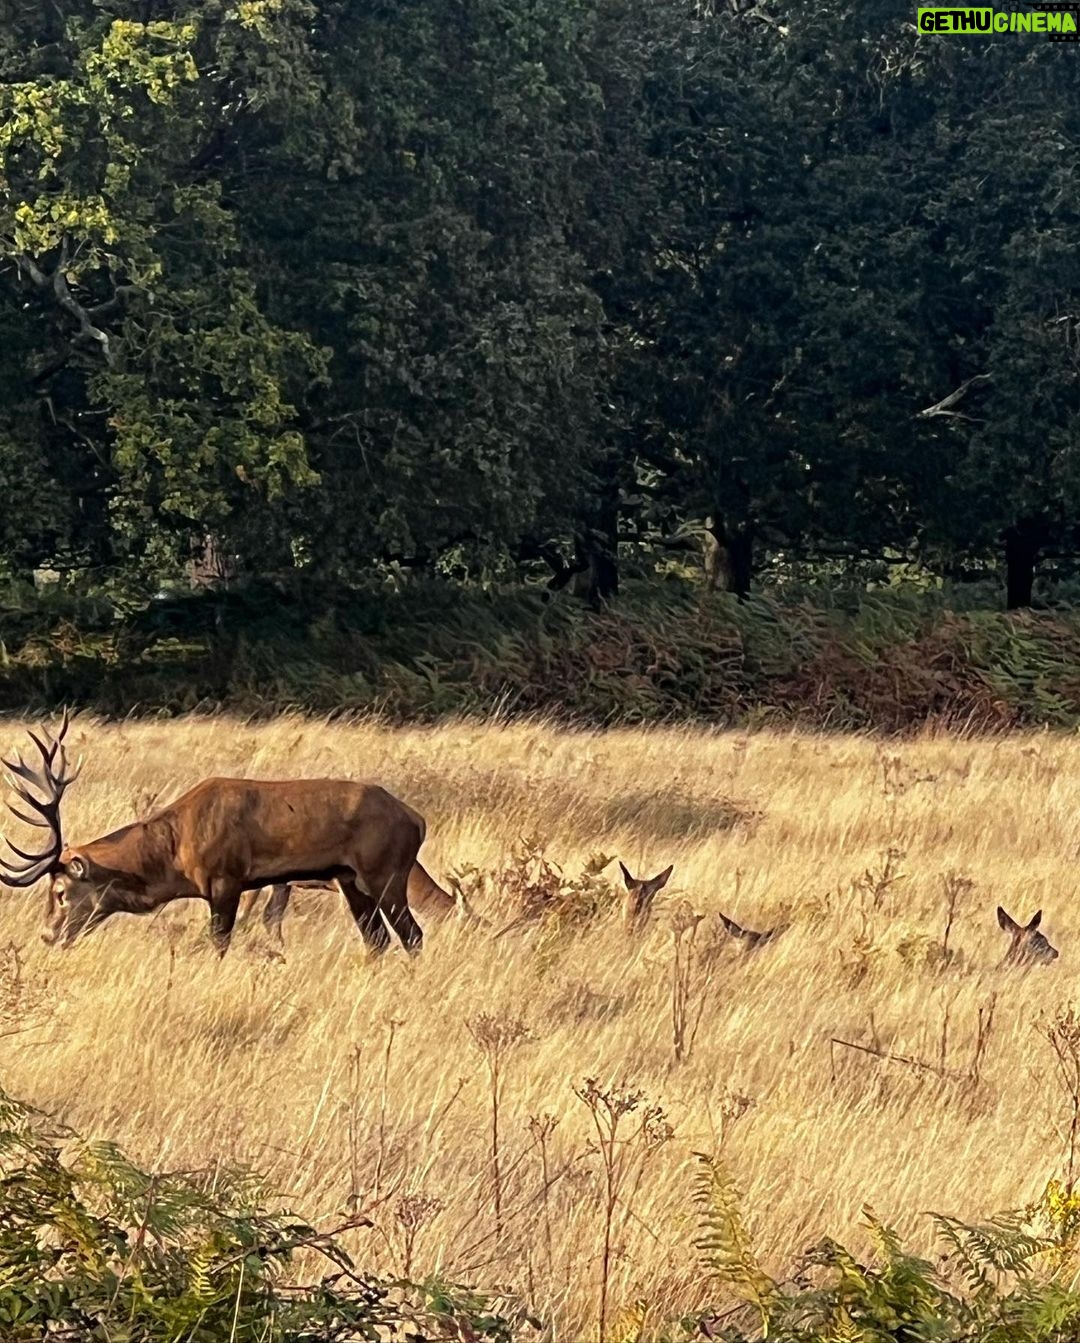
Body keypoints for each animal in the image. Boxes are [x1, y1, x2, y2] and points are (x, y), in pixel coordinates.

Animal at [0, 714, 441, 956]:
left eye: (60, 892)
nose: (47, 935)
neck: (175, 856)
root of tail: (416, 820)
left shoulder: (226, 879)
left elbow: (219, 943)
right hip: (350, 880)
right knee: (377, 940)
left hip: (386, 872)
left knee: (413, 936)